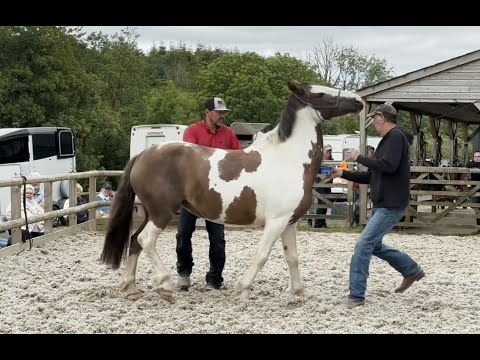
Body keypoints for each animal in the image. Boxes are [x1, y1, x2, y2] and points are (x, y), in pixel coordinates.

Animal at [101, 80, 364, 302]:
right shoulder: (276, 222)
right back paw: (165, 285)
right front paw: (243, 288)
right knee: (145, 240)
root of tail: (144, 154)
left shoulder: (289, 221)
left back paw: (131, 288)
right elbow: (262, 255)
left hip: (150, 212)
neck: (288, 159)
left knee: (134, 241)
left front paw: (300, 291)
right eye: (319, 93)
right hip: (161, 212)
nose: (358, 100)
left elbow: (292, 258)